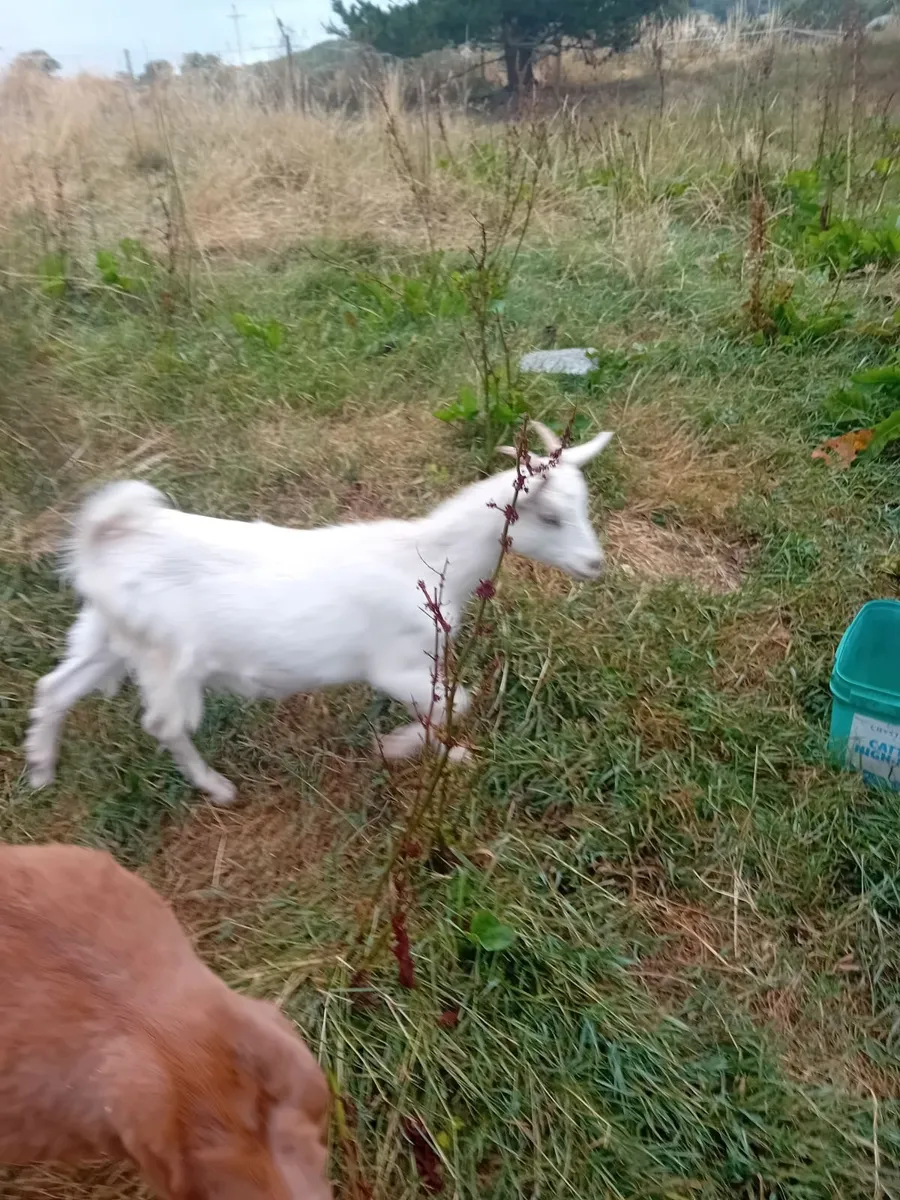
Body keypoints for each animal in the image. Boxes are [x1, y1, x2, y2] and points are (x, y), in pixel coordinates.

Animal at [26, 423, 613, 804]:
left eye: (583, 506)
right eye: (550, 516)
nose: (595, 564)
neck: (430, 558)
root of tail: (104, 541)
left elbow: (448, 708)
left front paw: (444, 756)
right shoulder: (398, 665)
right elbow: (456, 703)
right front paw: (400, 748)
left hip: (105, 634)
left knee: (54, 688)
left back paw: (40, 771)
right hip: (166, 658)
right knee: (164, 724)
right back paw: (217, 788)